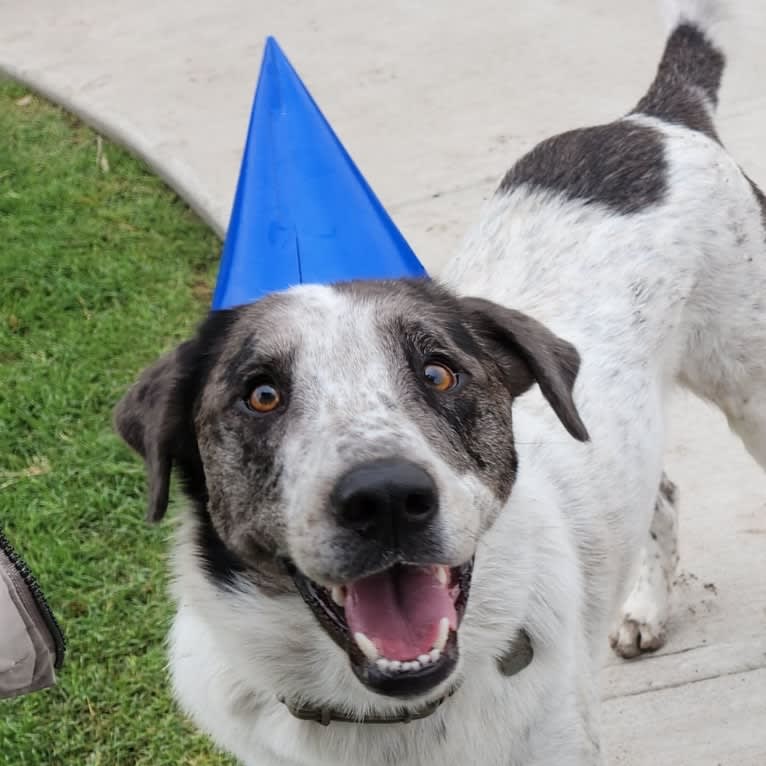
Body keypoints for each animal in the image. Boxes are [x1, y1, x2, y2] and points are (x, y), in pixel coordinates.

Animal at [114, 3, 766, 764]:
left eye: (439, 372)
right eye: (262, 394)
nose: (387, 498)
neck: (389, 720)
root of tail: (656, 116)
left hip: (750, 384)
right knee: (660, 492)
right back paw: (644, 609)